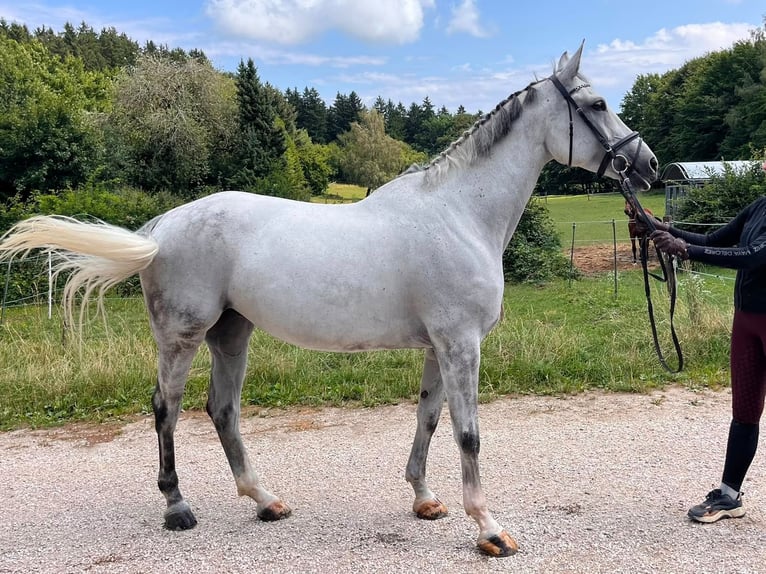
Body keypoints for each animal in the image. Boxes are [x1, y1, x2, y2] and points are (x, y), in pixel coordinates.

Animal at [0, 44, 658, 557]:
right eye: (597, 104)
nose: (647, 164)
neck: (459, 214)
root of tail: (161, 228)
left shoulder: (438, 347)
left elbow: (428, 417)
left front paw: (425, 500)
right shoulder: (460, 344)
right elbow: (468, 433)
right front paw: (489, 530)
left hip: (232, 334)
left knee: (222, 409)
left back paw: (265, 501)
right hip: (182, 336)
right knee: (167, 408)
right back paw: (177, 507)